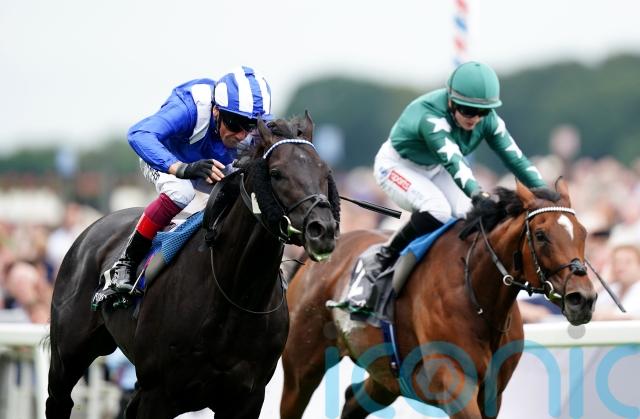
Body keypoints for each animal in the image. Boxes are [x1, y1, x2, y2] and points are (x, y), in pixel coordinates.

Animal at [46, 113, 340, 419]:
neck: (234, 296)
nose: (322, 229)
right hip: (68, 355)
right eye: (277, 173)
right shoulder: (157, 394)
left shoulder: (246, 398)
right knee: (59, 400)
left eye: (324, 172)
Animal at [280, 180, 597, 419]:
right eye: (541, 235)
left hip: (386, 376)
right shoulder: (455, 385)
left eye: (583, 233)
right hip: (301, 367)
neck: (478, 299)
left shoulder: (493, 394)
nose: (583, 298)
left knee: (351, 400)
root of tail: (313, 256)